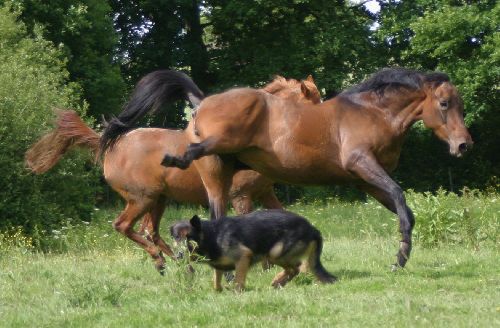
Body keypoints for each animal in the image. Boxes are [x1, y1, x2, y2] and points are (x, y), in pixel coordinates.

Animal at [26, 70, 320, 272]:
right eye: (314, 104)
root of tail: (110, 145)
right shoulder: (241, 197)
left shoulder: (265, 193)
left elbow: (283, 216)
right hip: (142, 199)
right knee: (124, 226)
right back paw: (163, 260)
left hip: (158, 200)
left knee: (150, 231)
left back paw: (178, 260)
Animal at [100, 66, 472, 270]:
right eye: (444, 104)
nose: (463, 145)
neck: (372, 113)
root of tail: (201, 103)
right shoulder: (362, 164)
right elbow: (400, 196)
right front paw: (401, 257)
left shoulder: (366, 180)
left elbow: (400, 206)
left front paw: (401, 254)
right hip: (203, 169)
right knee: (197, 159)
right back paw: (176, 159)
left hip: (217, 179)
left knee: (210, 217)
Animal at [169, 209, 336, 290]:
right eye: (176, 237)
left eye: (189, 237)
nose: (179, 255)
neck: (212, 236)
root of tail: (312, 228)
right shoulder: (219, 267)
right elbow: (216, 283)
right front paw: (219, 291)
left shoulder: (243, 257)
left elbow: (238, 282)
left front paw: (237, 293)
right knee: (295, 269)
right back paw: (278, 283)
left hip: (275, 253)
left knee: (296, 268)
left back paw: (278, 281)